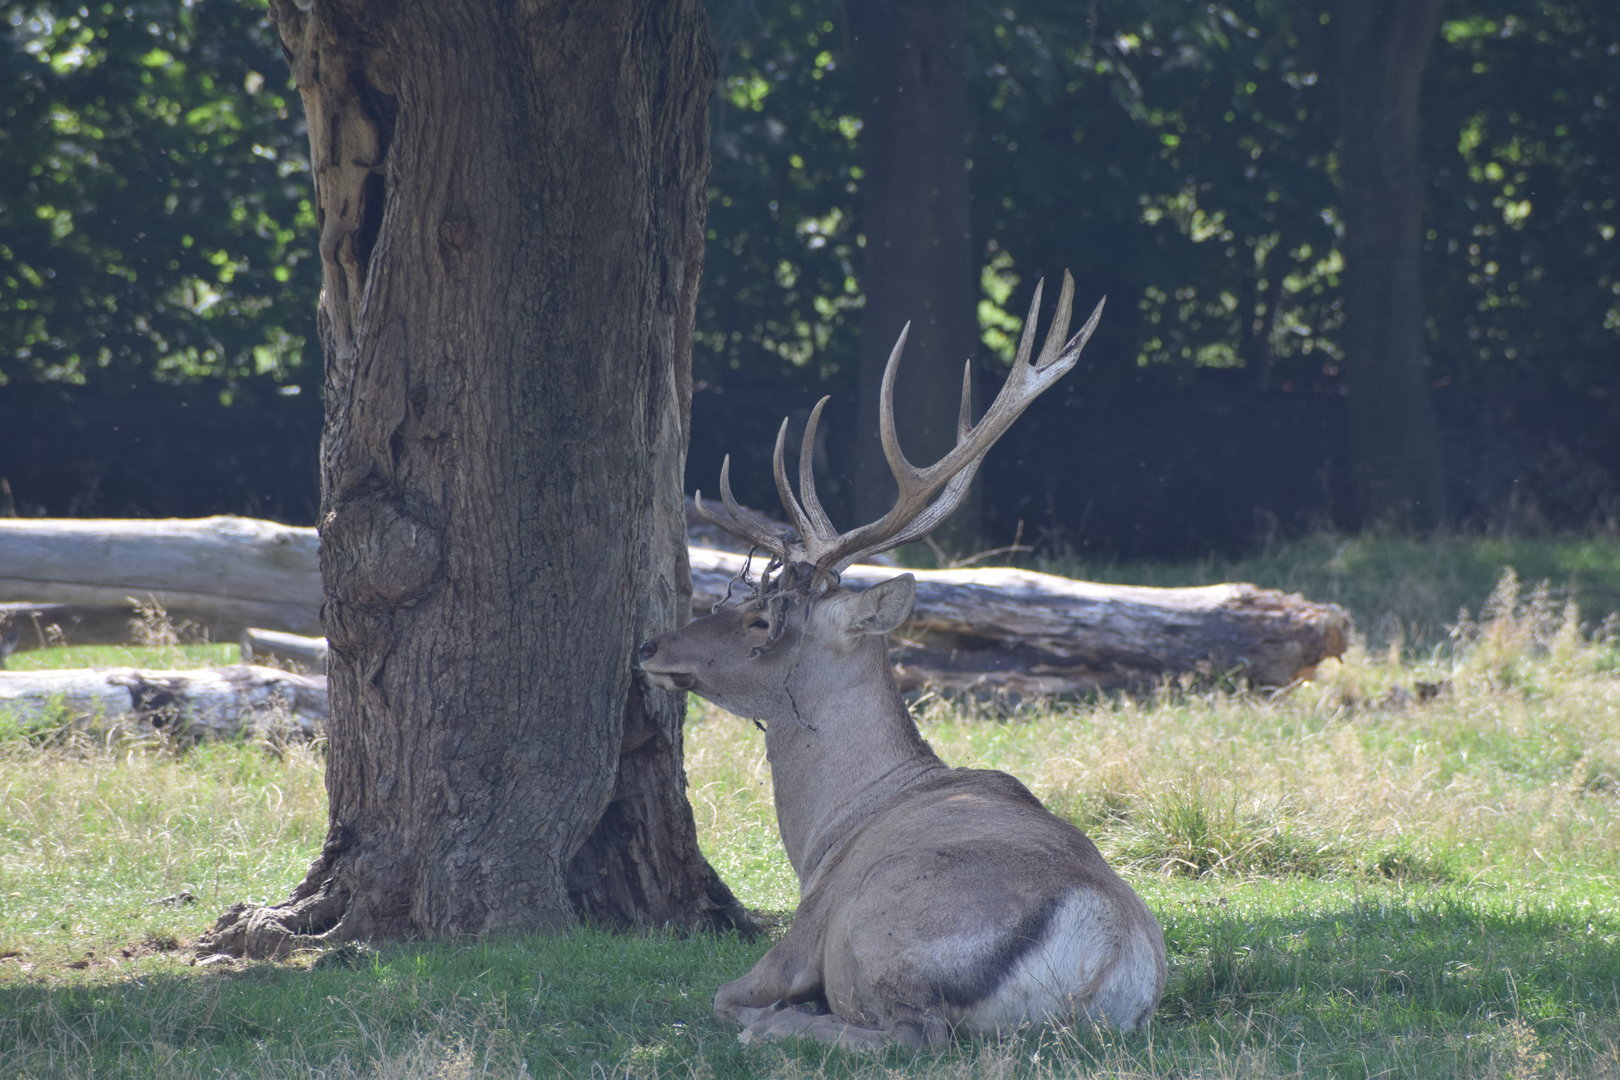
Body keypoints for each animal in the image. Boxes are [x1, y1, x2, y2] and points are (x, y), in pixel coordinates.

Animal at [638, 273, 1166, 1049]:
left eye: (761, 617)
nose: (651, 645)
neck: (825, 835)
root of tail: (1098, 940)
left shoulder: (804, 929)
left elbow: (723, 994)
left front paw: (761, 1014)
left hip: (883, 941)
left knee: (908, 1032)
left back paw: (778, 1026)